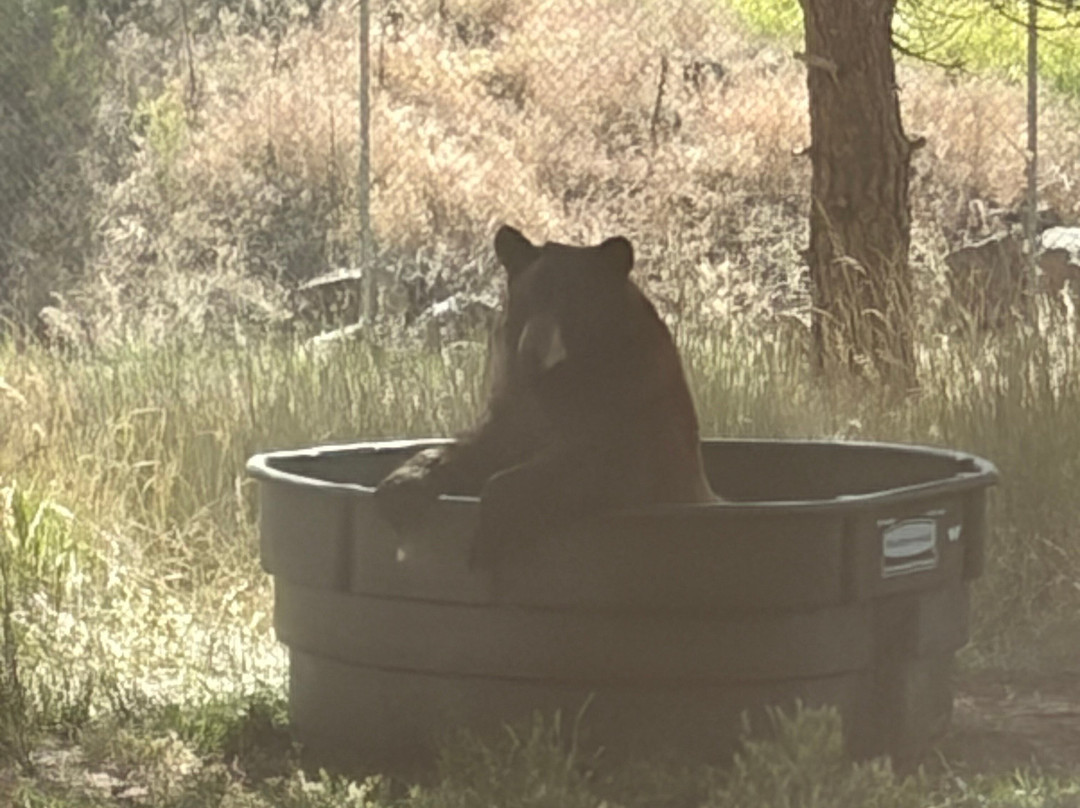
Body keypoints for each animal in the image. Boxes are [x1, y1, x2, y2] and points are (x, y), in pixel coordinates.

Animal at [375, 225, 717, 569]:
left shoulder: (634, 417)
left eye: (571, 304)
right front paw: (401, 485)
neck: (557, 382)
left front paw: (491, 534)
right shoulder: (514, 405)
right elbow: (484, 446)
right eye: (526, 302)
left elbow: (589, 464)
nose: (532, 352)